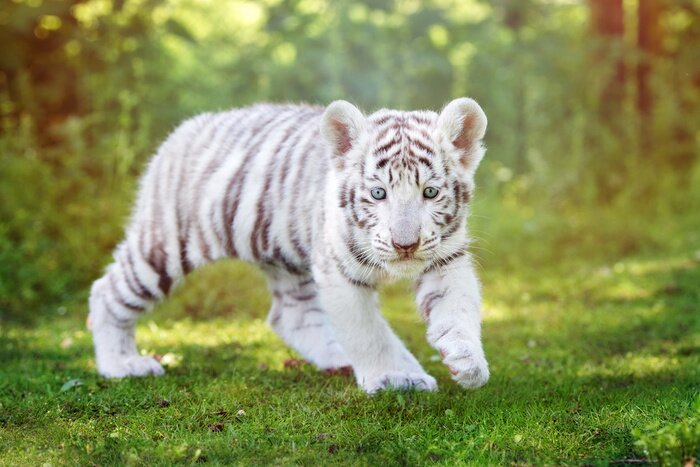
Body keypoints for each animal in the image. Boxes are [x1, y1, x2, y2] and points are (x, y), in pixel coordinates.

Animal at [88, 97, 490, 394]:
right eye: (379, 194)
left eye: (430, 192)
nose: (405, 245)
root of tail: (184, 130)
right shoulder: (339, 271)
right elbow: (368, 332)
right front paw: (396, 377)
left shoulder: (446, 258)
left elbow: (459, 309)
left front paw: (466, 360)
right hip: (164, 246)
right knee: (107, 291)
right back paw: (122, 364)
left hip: (286, 259)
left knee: (289, 316)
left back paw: (337, 357)